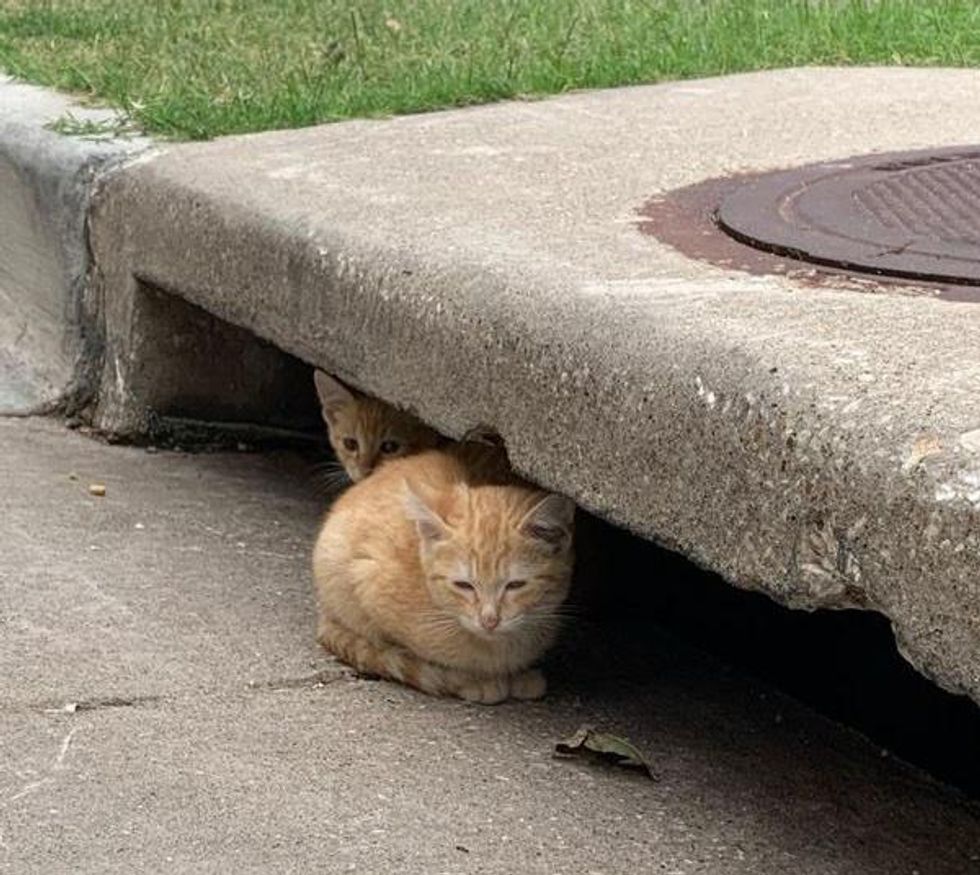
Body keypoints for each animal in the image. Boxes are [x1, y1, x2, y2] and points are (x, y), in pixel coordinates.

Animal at [314, 448, 576, 700]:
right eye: (464, 585)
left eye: (515, 585)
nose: (489, 620)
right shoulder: (368, 580)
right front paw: (473, 681)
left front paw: (518, 675)